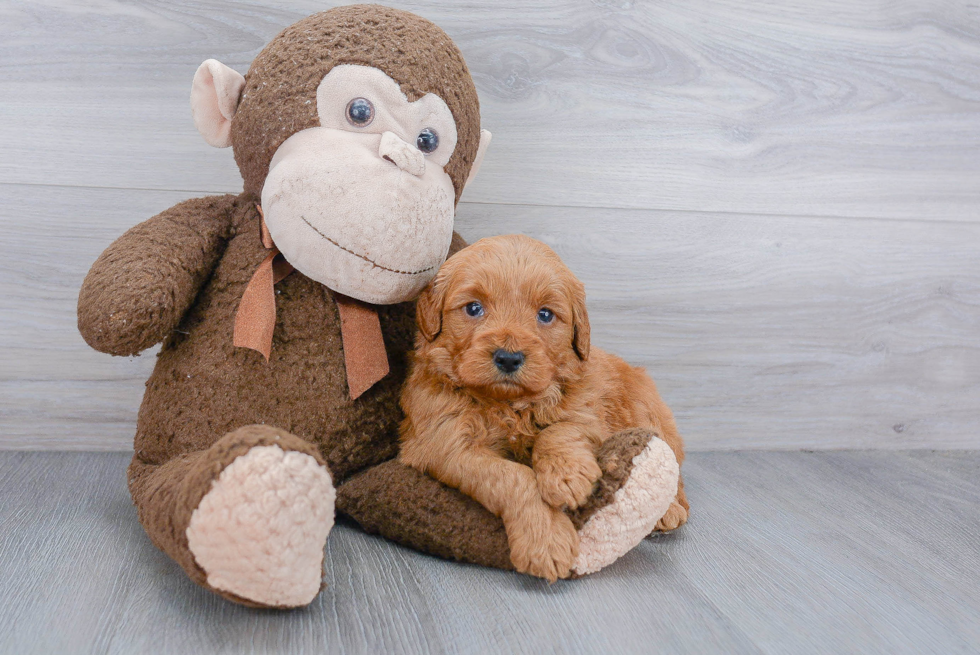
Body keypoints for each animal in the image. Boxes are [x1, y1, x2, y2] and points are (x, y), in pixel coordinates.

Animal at [398, 233, 688, 580]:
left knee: (674, 468)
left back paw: (669, 511)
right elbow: (513, 477)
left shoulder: (587, 412)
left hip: (648, 409)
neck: (510, 405)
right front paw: (546, 539)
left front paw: (566, 476)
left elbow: (560, 431)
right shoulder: (446, 443)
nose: (509, 357)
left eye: (546, 315)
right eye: (473, 308)